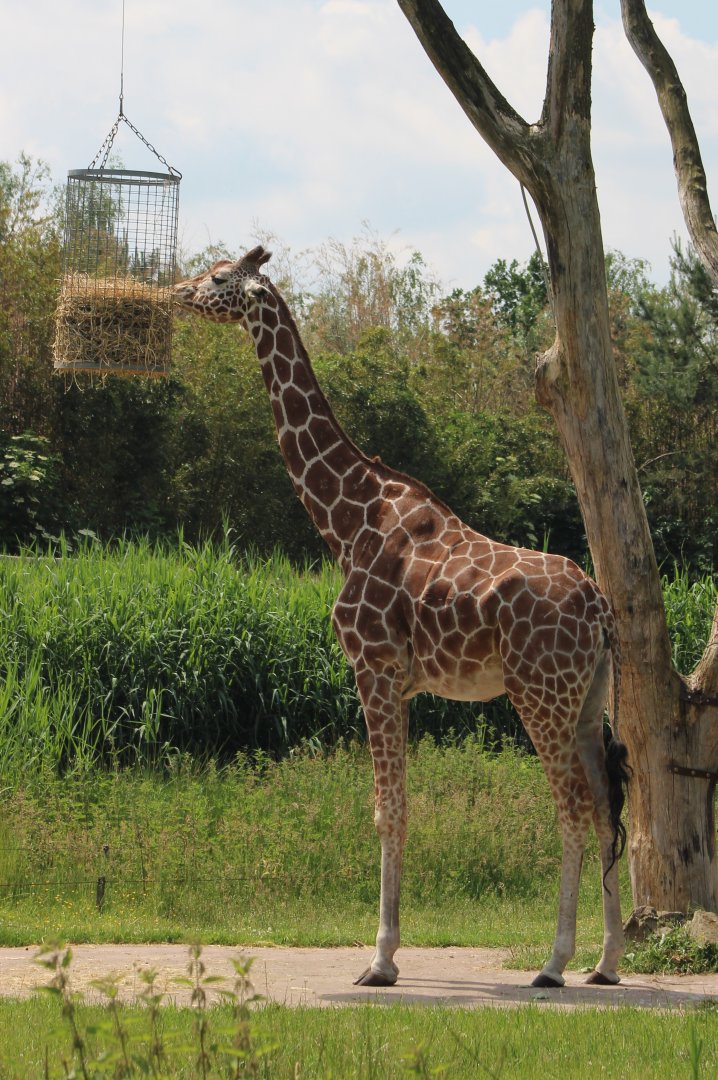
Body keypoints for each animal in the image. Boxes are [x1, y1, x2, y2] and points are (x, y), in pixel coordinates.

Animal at [173, 245, 630, 990]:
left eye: (218, 277)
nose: (178, 292)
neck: (346, 519)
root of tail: (599, 608)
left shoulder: (374, 668)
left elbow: (387, 812)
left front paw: (380, 960)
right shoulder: (406, 683)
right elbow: (404, 808)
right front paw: (387, 952)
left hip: (540, 695)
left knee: (570, 806)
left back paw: (553, 963)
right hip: (587, 700)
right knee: (603, 805)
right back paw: (607, 961)